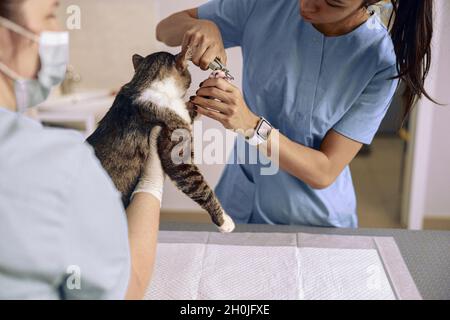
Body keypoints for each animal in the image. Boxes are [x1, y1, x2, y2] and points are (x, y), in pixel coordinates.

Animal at [86, 52, 237, 232]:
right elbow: (200, 187)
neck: (145, 82)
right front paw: (224, 221)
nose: (219, 72)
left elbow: (195, 103)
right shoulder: (178, 155)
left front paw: (217, 76)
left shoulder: (183, 112)